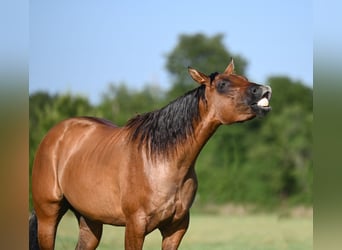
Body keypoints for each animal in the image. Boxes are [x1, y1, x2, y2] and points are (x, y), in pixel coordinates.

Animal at [29, 59, 272, 249]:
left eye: (244, 77)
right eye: (222, 84)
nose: (264, 90)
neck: (162, 160)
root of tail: (56, 134)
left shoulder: (176, 229)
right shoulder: (135, 226)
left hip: (90, 221)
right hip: (48, 215)